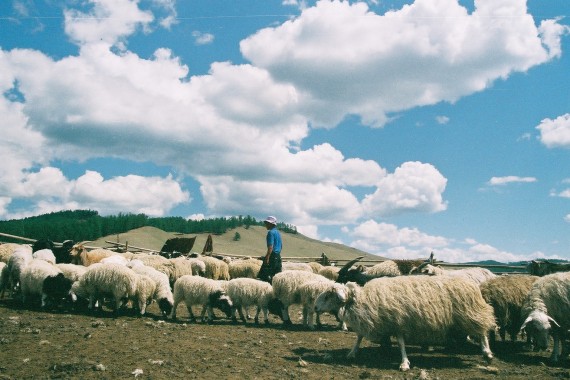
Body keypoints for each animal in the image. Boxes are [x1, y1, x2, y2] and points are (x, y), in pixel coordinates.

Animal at [312, 274, 494, 372]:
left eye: (328, 296)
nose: (315, 307)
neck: (364, 299)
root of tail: (472, 283)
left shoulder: (398, 321)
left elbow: (400, 343)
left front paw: (404, 363)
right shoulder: (382, 321)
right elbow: (359, 336)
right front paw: (352, 352)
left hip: (471, 313)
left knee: (483, 331)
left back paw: (487, 353)